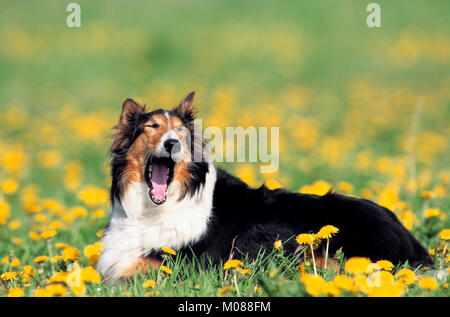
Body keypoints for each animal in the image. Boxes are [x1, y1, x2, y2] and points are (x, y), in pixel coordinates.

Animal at [97, 90, 432, 278]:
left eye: (180, 131)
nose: (172, 143)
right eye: (152, 127)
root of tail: (407, 235)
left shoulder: (171, 266)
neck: (155, 207)